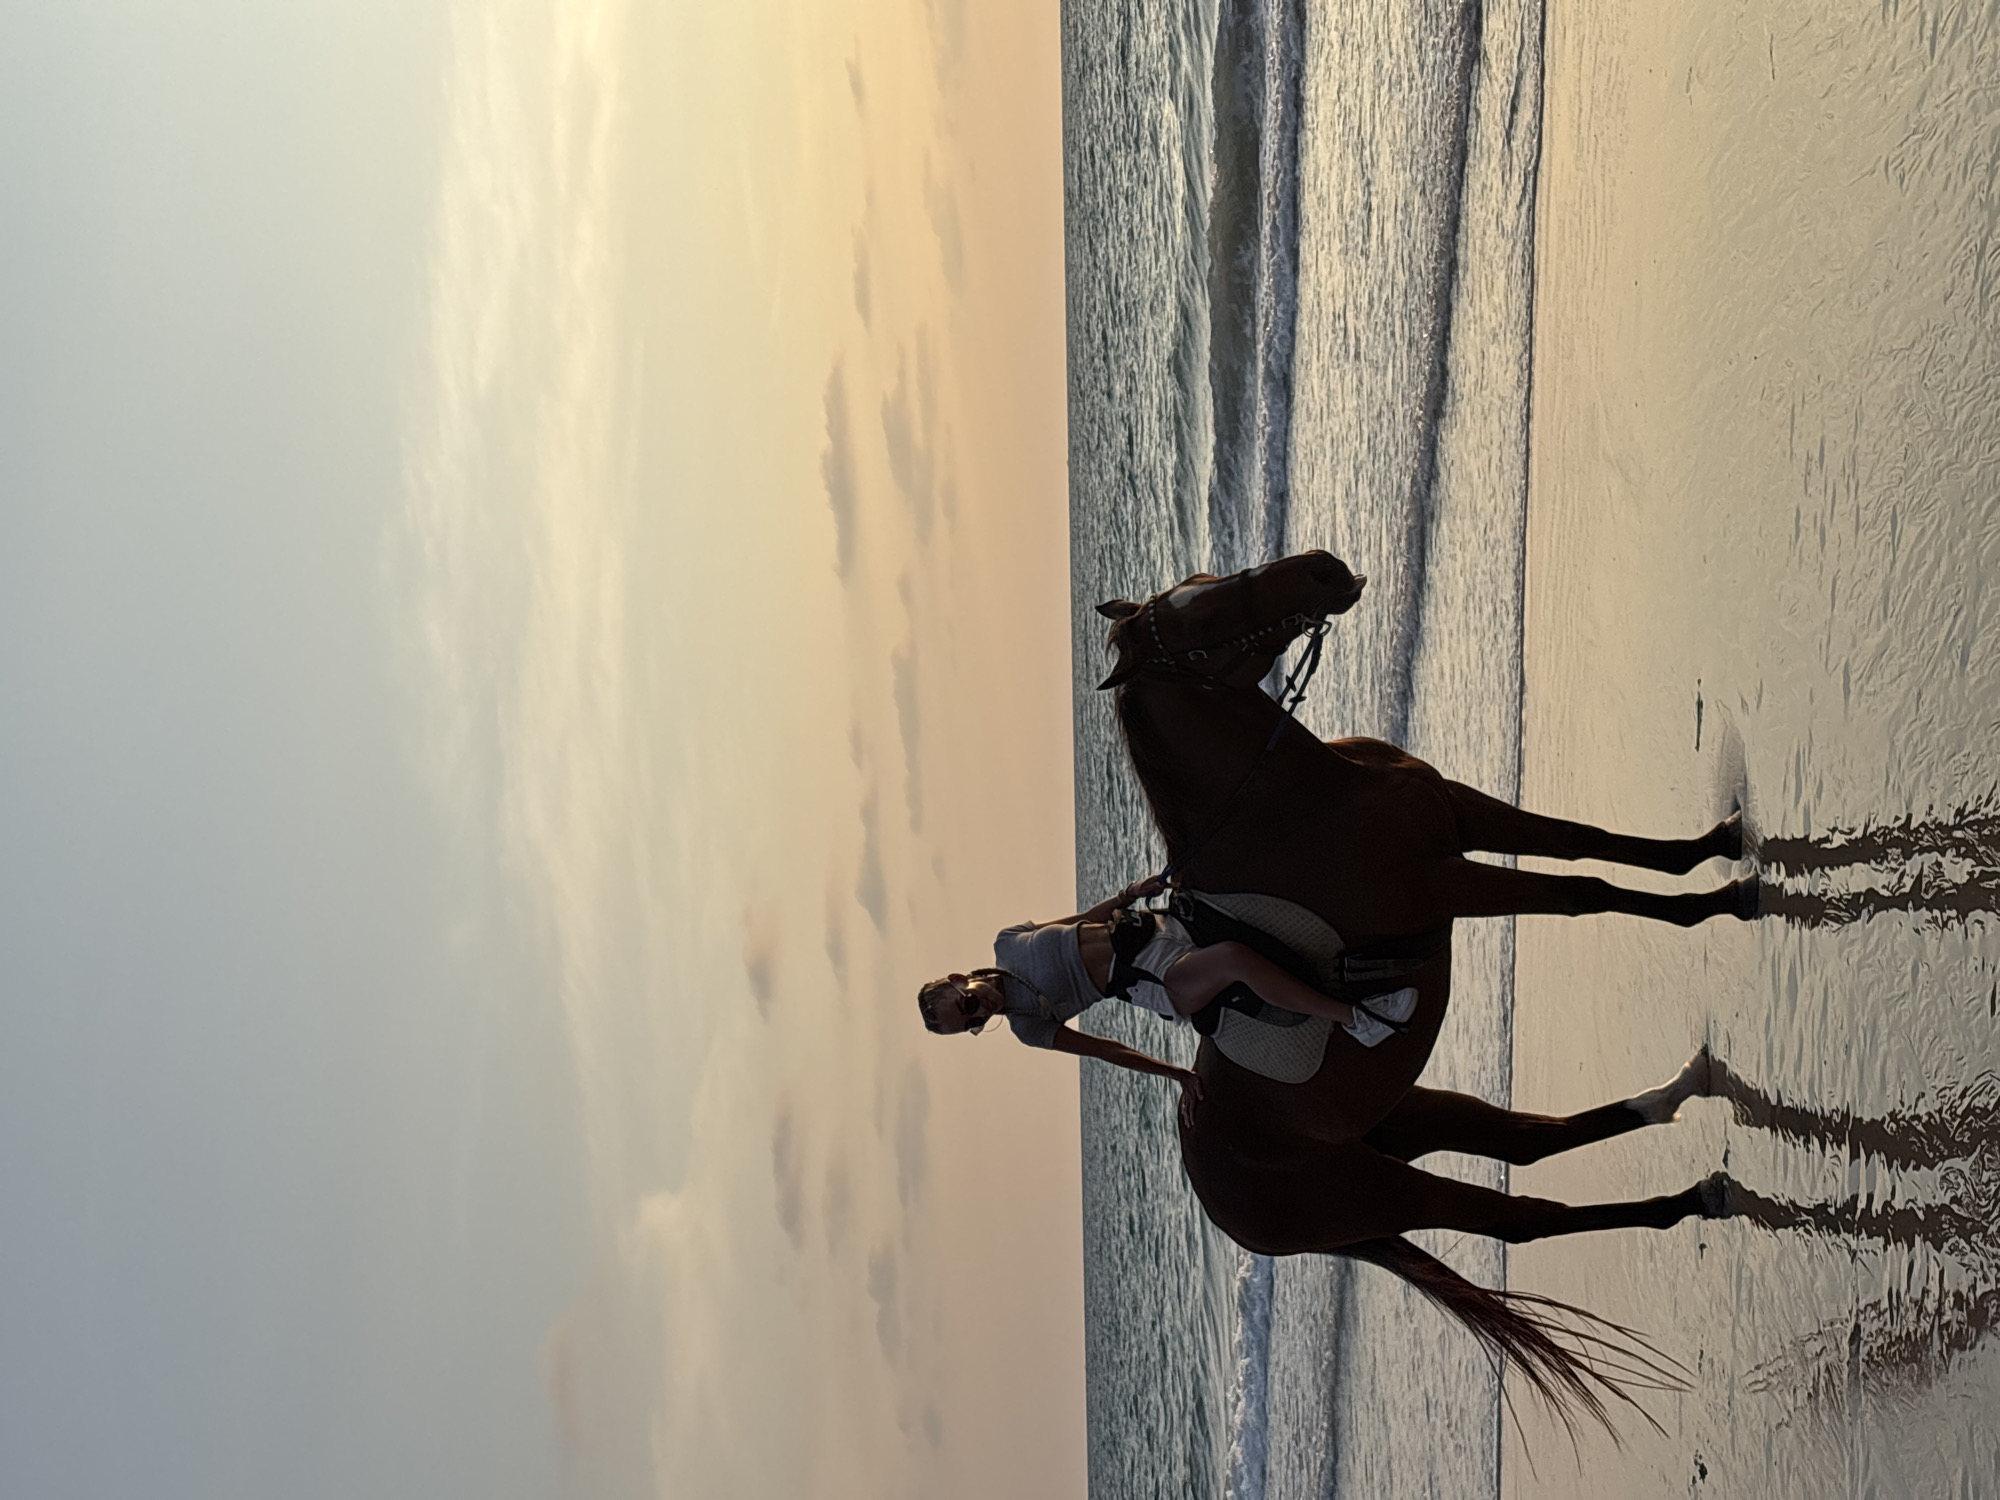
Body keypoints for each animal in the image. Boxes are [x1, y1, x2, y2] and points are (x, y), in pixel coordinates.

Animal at [1096, 550, 1754, 1429]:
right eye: (1194, 626)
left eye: (1204, 585)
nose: (1319, 568)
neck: (1297, 803)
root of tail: (1217, 1192)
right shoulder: (1451, 882)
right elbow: (1585, 892)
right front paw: (1714, 902)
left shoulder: (1467, 815)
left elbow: (1586, 841)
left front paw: (1713, 845)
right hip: (1383, 1192)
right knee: (1518, 1219)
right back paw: (1688, 1197)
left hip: (1410, 1118)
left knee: (1526, 1142)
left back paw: (1677, 1093)